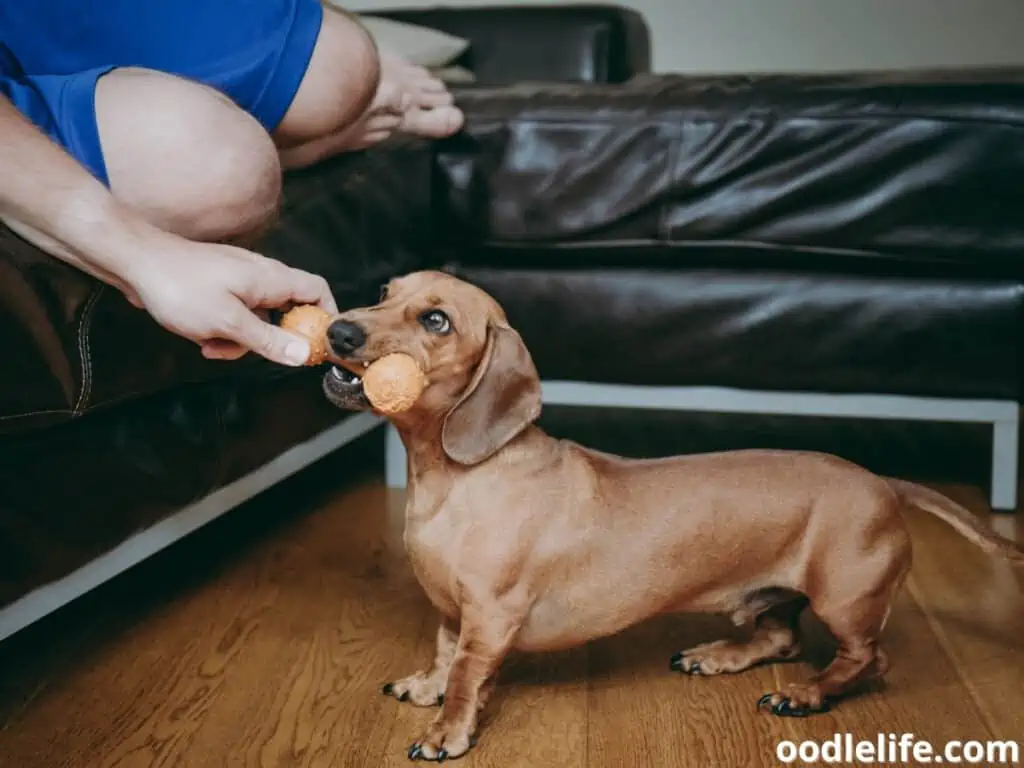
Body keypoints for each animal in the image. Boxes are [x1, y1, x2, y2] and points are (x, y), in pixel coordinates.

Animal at [319, 270, 1024, 765]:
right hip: (779, 593)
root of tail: (881, 481)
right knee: (781, 637)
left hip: (846, 599)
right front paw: (427, 688)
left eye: (436, 320)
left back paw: (807, 693)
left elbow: (469, 673)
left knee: (866, 661)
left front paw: (448, 730)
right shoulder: (450, 609)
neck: (457, 477)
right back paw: (719, 656)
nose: (338, 332)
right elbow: (445, 654)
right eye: (384, 292)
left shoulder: (491, 614)